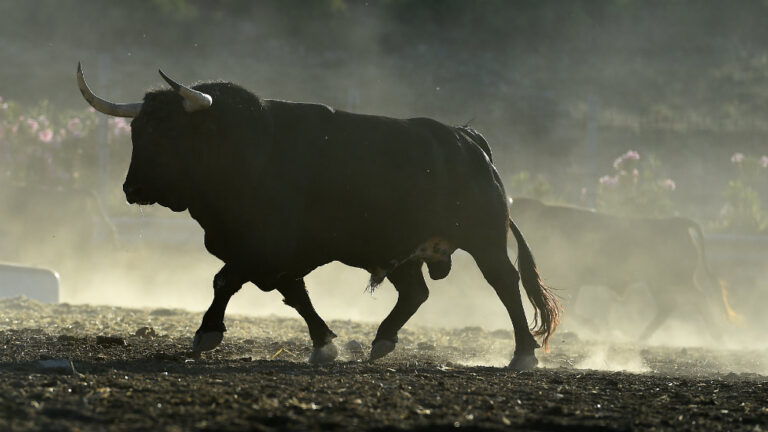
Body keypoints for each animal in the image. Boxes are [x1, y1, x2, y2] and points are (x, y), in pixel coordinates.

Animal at [76, 64, 560, 370]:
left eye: (170, 133)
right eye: (137, 130)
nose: (131, 189)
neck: (250, 150)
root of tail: (468, 140)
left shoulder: (264, 245)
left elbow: (224, 280)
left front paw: (207, 332)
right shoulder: (275, 257)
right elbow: (295, 295)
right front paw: (324, 344)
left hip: (485, 240)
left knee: (505, 284)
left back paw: (523, 354)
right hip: (402, 252)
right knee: (416, 293)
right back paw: (382, 340)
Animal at [508, 197, 738, 342]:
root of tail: (678, 223)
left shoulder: (570, 279)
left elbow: (569, 308)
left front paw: (597, 328)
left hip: (673, 281)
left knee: (696, 299)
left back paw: (717, 337)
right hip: (659, 284)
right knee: (670, 305)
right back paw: (641, 337)